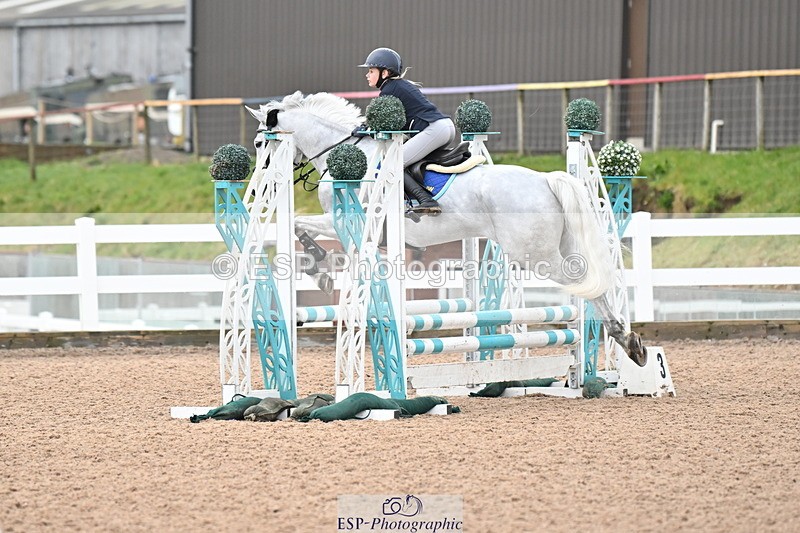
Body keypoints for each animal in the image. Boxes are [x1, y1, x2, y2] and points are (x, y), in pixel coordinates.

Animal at [246, 91, 647, 367]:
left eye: (260, 143)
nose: (253, 193)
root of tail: (546, 179)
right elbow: (307, 232)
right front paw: (322, 268)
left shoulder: (342, 220)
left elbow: (300, 227)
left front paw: (320, 269)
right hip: (553, 247)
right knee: (589, 279)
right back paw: (627, 341)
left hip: (536, 255)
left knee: (585, 281)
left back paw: (623, 338)